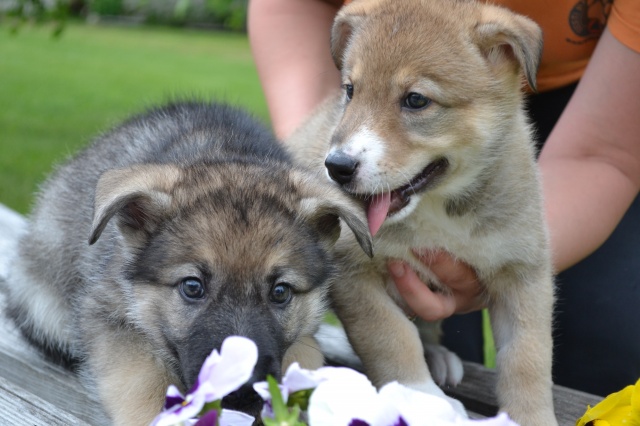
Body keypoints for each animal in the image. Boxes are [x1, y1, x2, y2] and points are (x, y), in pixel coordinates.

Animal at [5, 101, 373, 425]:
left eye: (280, 292)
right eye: (192, 287)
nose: (240, 393)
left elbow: (305, 351)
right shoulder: (105, 312)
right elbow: (140, 378)